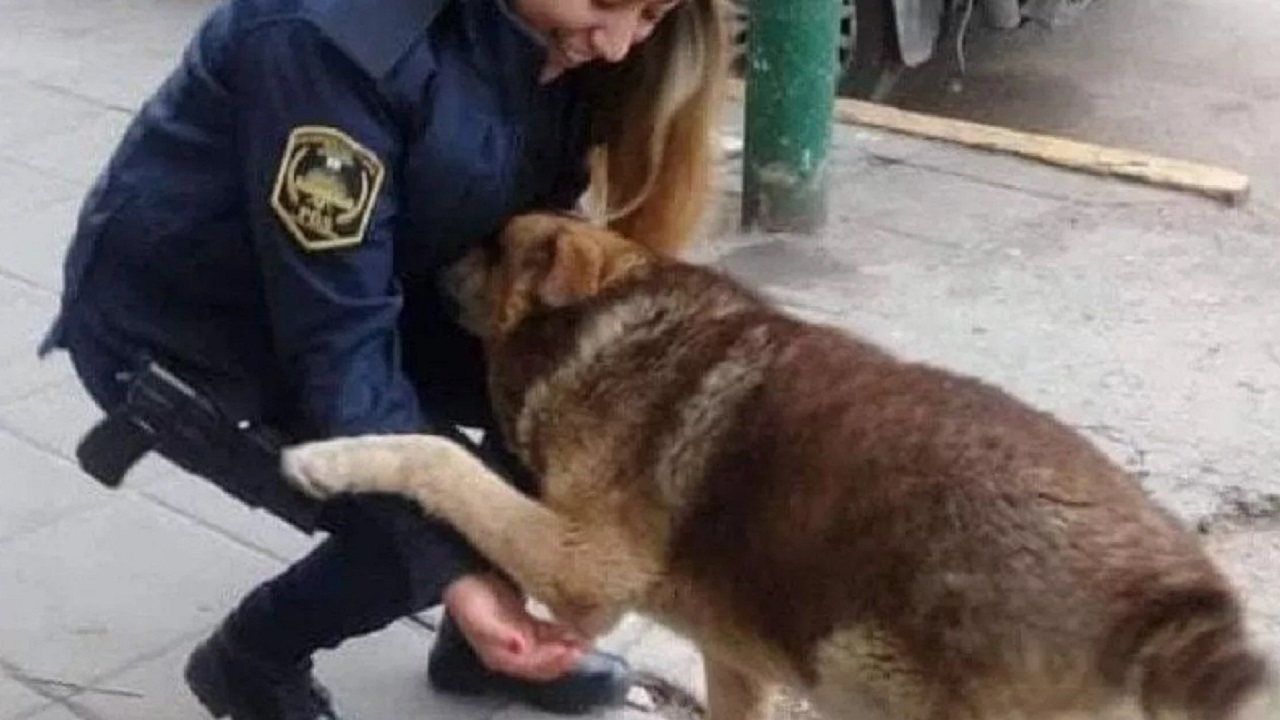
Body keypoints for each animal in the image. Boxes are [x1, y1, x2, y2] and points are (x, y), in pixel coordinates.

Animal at [282, 210, 1280, 712]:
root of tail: (1168, 597)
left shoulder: (583, 569)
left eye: (492, 246)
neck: (608, 318)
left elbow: (436, 458)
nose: (422, 267)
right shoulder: (737, 669)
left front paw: (331, 455)